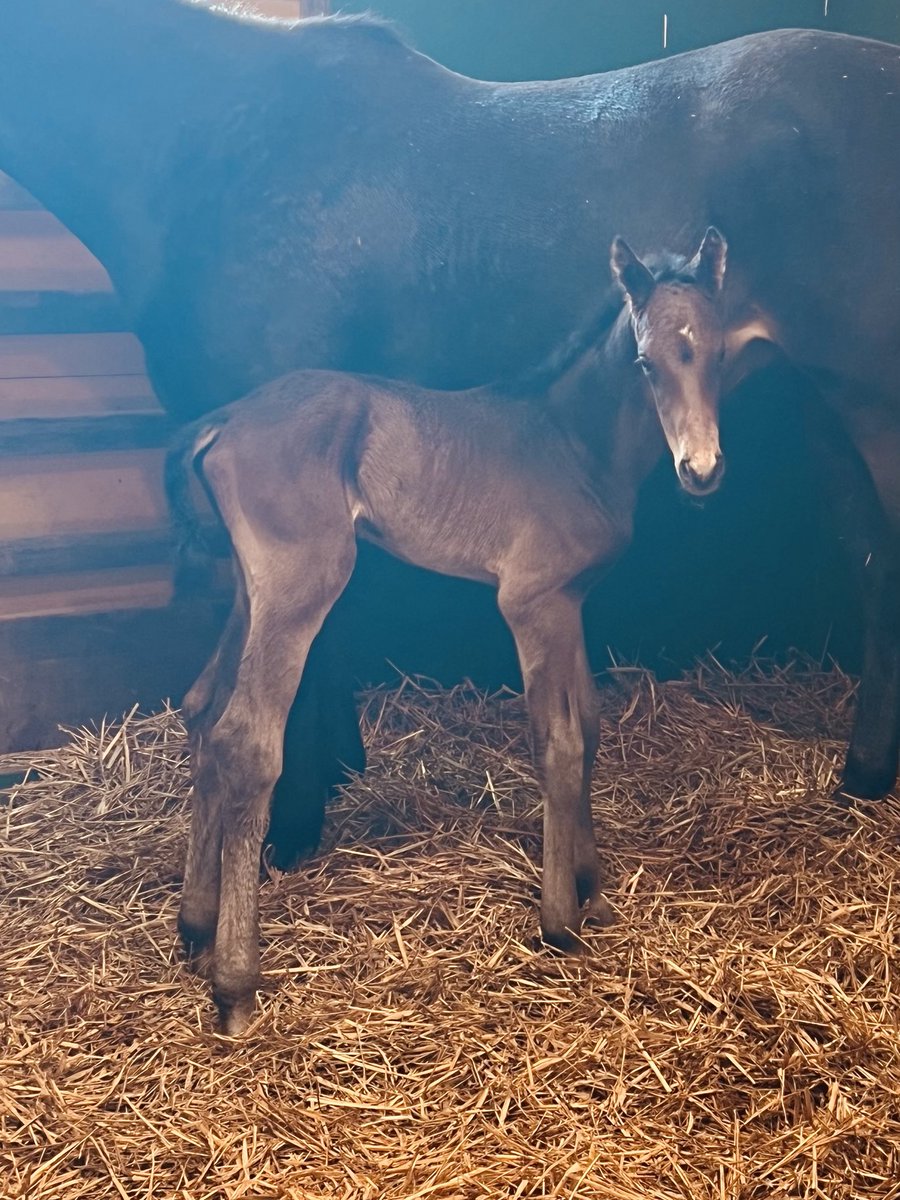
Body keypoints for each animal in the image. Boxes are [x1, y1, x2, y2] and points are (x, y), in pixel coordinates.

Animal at [169, 226, 734, 1032]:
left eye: (719, 355)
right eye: (646, 363)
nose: (702, 470)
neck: (574, 442)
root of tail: (223, 420)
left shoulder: (571, 602)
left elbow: (591, 727)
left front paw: (593, 889)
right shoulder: (531, 603)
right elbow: (558, 742)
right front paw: (561, 922)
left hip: (253, 592)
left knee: (202, 708)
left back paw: (194, 925)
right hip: (301, 585)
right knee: (245, 740)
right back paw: (236, 984)